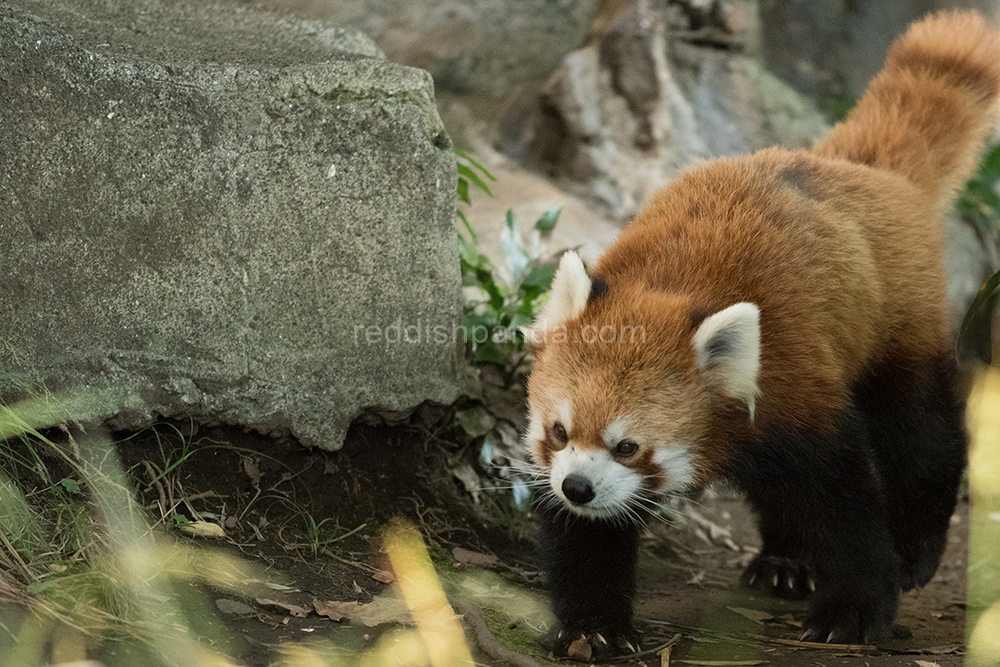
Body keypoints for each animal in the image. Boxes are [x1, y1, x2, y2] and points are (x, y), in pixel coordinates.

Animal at [524, 10, 1000, 656]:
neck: (671, 290)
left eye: (628, 446)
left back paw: (914, 547)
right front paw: (592, 625)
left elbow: (841, 501)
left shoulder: (795, 386)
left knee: (921, 434)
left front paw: (853, 611)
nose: (577, 487)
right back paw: (784, 561)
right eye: (559, 431)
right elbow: (588, 538)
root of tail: (856, 170)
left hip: (901, 322)